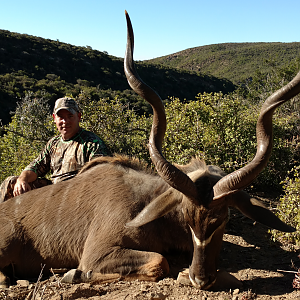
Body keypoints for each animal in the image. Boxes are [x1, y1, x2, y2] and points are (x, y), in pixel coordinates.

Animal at [0, 12, 300, 290]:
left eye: (223, 219)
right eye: (187, 217)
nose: (201, 278)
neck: (148, 205)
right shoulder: (96, 253)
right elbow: (159, 261)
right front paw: (72, 274)